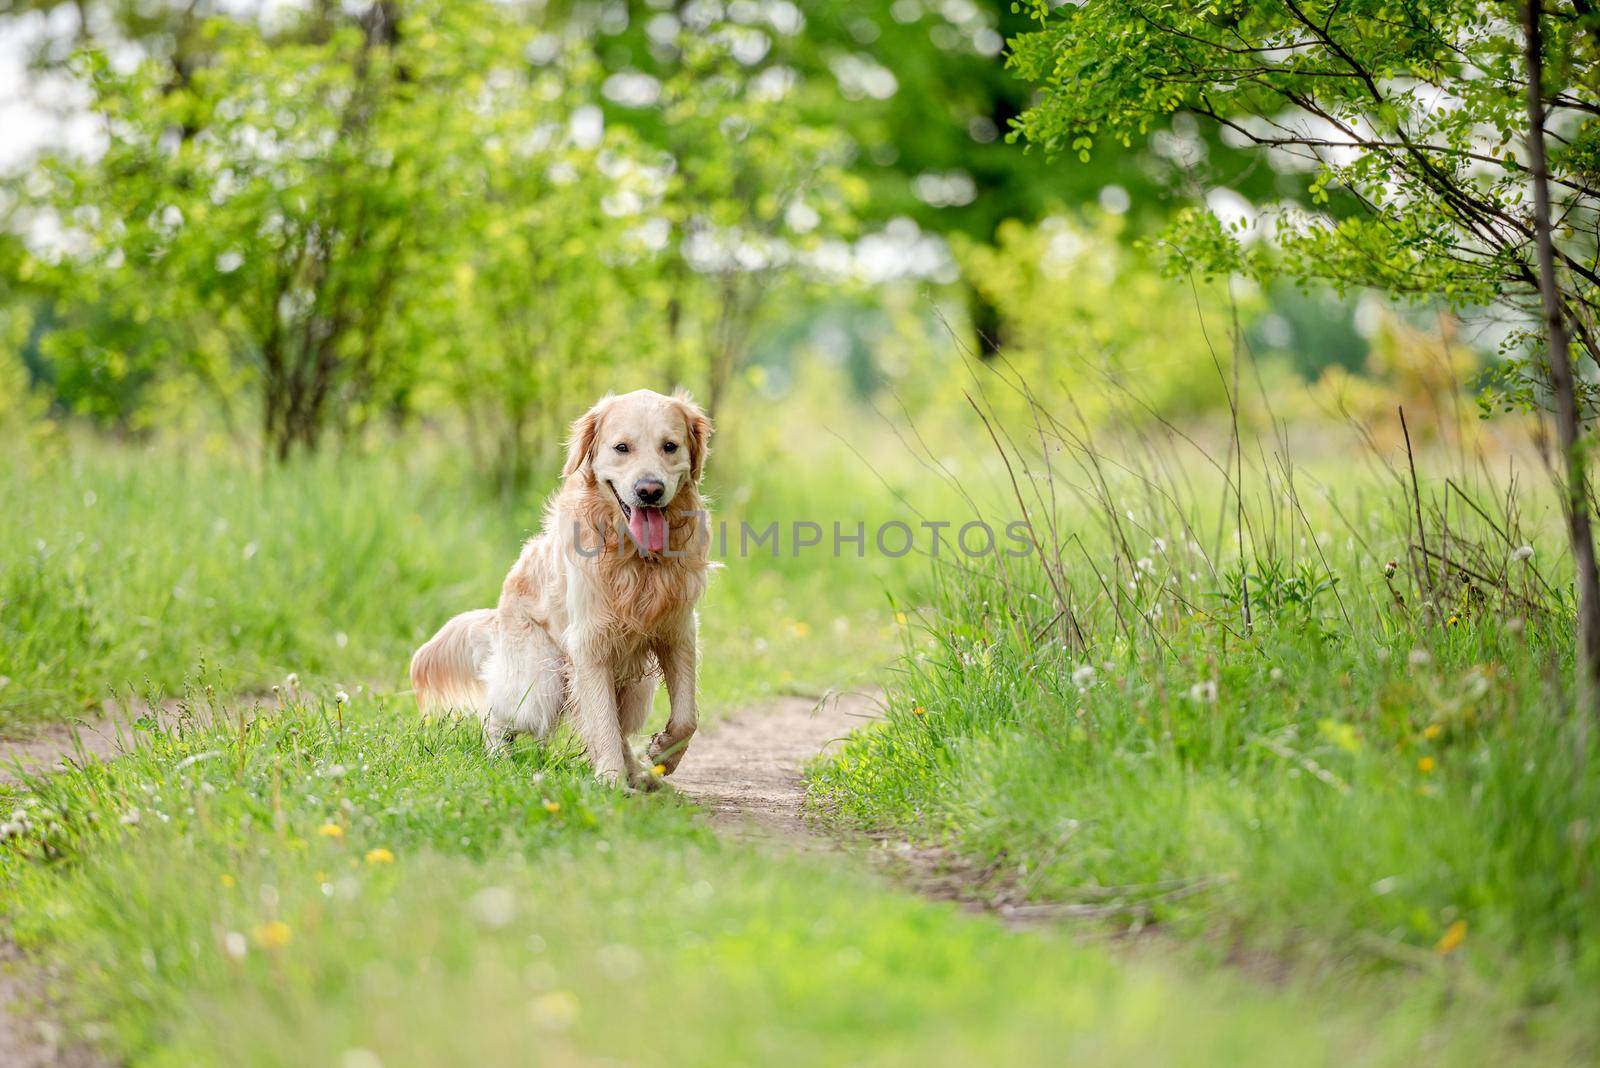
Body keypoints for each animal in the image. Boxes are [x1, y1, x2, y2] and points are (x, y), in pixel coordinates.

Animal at [409, 388, 710, 789]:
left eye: (670, 446)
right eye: (622, 447)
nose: (649, 490)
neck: (636, 560)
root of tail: (497, 614)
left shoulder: (678, 630)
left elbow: (686, 716)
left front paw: (663, 753)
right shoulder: (589, 642)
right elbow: (602, 721)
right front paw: (611, 781)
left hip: (635, 688)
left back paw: (640, 773)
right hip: (541, 680)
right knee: (498, 712)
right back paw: (499, 755)